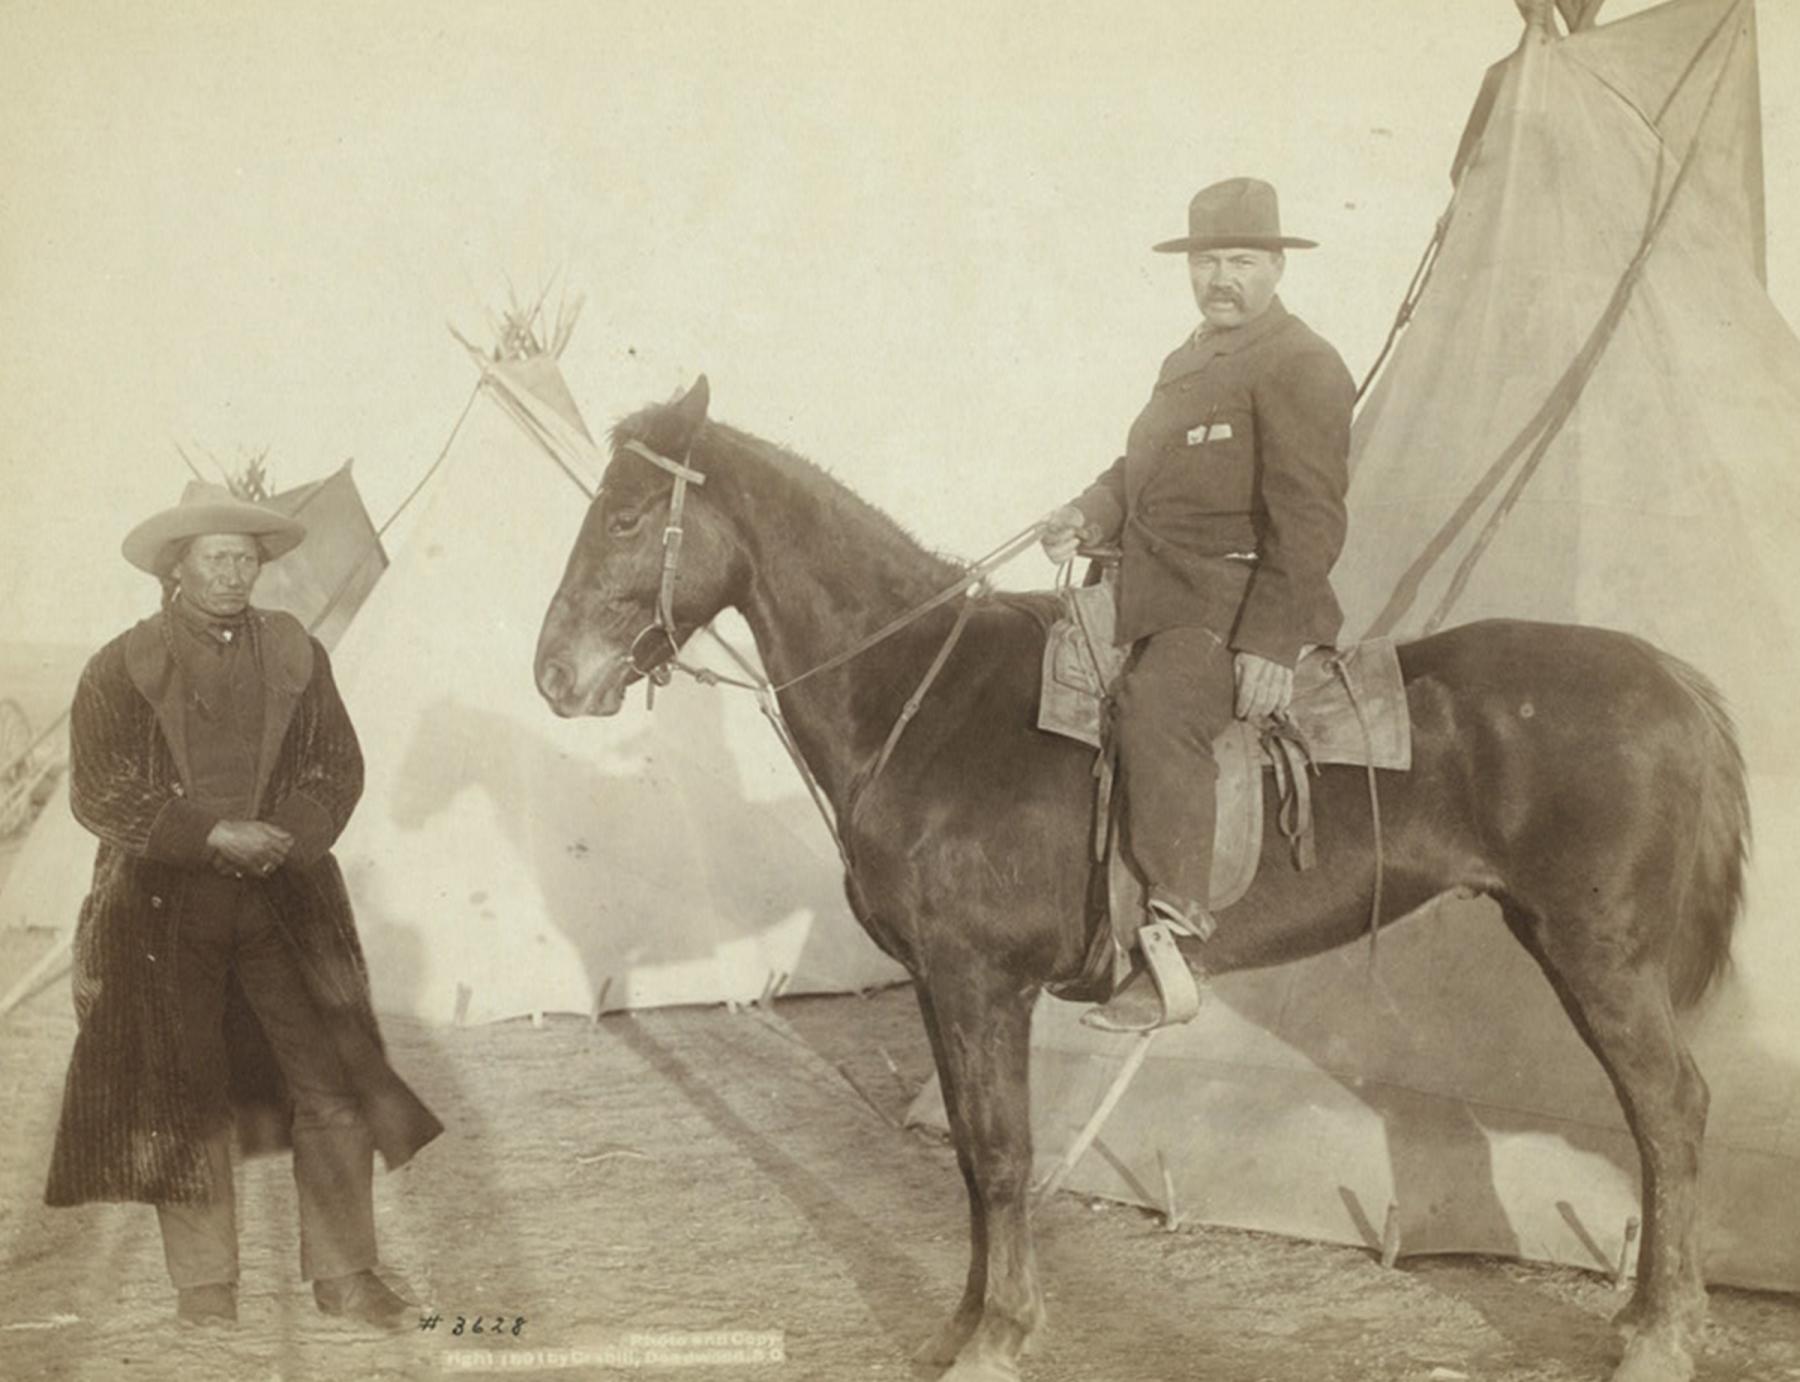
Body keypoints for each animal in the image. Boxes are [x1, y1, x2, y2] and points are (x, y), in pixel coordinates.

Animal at [529, 377, 1742, 1382]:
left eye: (626, 518)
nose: (552, 675)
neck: (923, 698)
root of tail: (1666, 676)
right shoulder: (938, 986)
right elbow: (968, 1154)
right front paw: (964, 1324)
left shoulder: (981, 981)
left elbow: (1003, 1155)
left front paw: (999, 1336)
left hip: (1600, 954)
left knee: (1670, 1111)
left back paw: (1663, 1336)